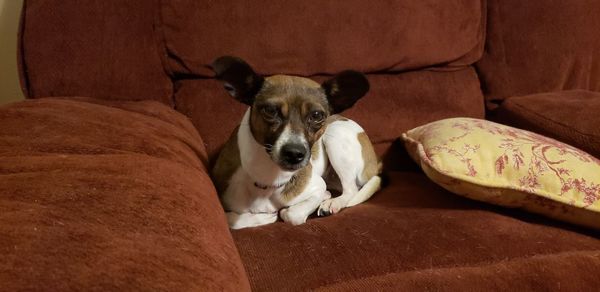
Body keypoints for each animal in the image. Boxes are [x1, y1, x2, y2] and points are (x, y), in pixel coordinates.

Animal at [210, 56, 380, 229]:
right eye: (270, 110)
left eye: (317, 115)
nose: (294, 154)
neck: (268, 179)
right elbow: (231, 220)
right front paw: (265, 217)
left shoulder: (317, 186)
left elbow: (292, 214)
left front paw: (280, 213)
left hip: (335, 136)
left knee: (351, 190)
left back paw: (332, 203)